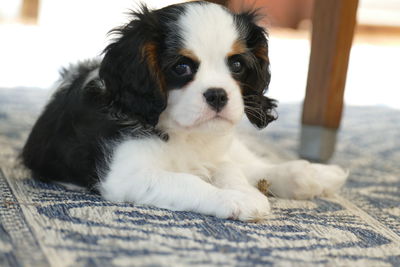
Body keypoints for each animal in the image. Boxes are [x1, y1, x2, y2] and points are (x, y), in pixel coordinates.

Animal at [21, 1, 346, 223]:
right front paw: (236, 199)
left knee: (251, 163)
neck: (186, 135)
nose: (218, 95)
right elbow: (189, 181)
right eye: (181, 67)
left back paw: (313, 174)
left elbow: (229, 169)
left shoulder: (216, 152)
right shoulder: (127, 175)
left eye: (237, 65)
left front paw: (244, 191)